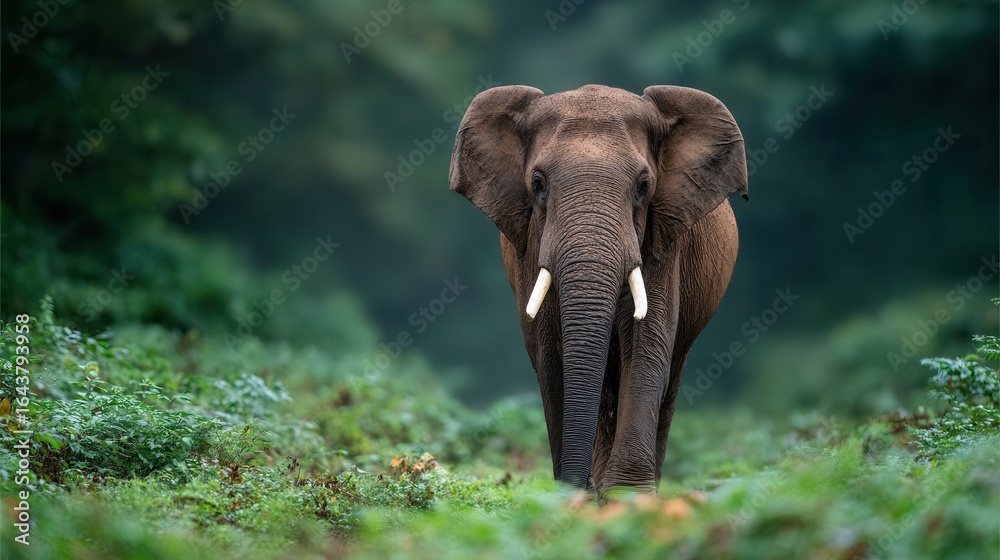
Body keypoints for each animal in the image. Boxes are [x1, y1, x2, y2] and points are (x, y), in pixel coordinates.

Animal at [448, 84, 747, 494]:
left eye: (643, 186)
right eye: (537, 184)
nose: (577, 484)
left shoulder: (663, 241)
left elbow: (647, 341)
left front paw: (629, 496)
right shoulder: (532, 245)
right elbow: (549, 352)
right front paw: (575, 495)